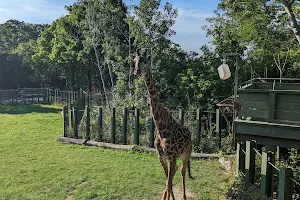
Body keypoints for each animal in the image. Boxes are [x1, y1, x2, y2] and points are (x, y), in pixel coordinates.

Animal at [134, 51, 195, 200]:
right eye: (134, 60)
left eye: (145, 61)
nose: (136, 71)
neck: (161, 128)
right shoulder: (161, 157)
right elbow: (167, 181)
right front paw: (165, 196)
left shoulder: (172, 156)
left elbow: (169, 182)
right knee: (174, 175)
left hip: (186, 153)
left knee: (182, 171)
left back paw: (184, 196)